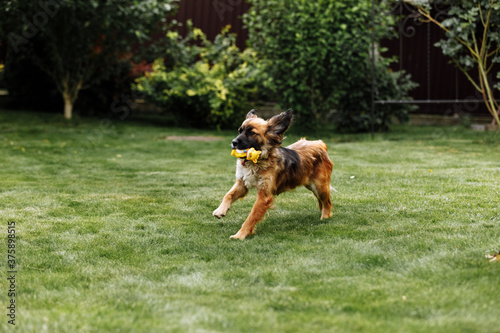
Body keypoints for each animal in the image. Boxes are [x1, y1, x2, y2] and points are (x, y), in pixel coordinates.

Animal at [211, 109, 332, 239]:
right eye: (240, 130)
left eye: (252, 132)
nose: (233, 142)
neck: (256, 162)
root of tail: (320, 143)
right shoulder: (242, 184)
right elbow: (228, 195)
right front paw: (220, 210)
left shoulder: (264, 196)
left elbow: (251, 217)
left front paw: (240, 235)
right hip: (311, 185)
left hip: (320, 186)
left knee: (327, 202)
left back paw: (325, 217)